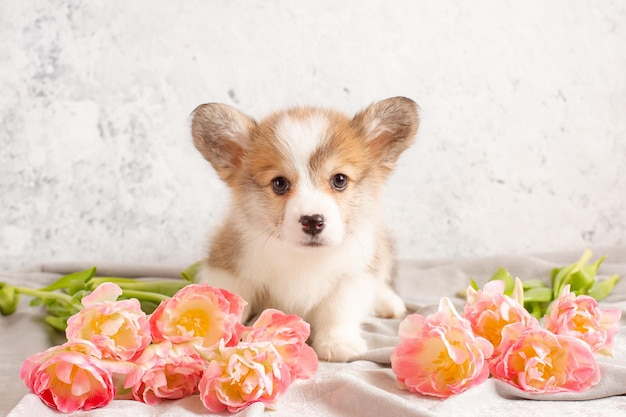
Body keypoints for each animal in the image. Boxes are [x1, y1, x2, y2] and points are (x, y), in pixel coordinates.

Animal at [190, 96, 420, 360]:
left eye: (339, 180)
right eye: (279, 183)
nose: (312, 221)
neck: (305, 257)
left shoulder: (353, 275)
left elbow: (338, 311)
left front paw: (337, 343)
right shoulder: (229, 268)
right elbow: (229, 301)